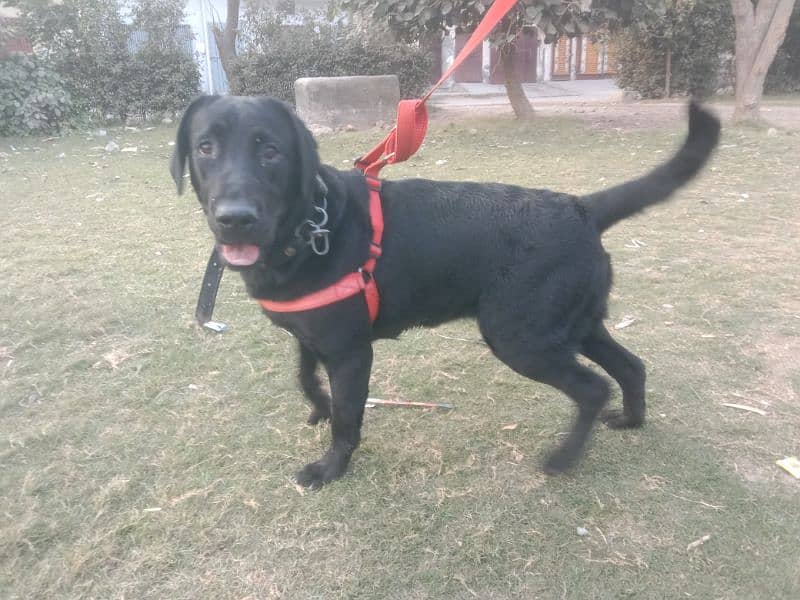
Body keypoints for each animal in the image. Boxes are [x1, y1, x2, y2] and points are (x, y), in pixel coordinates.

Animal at [172, 94, 720, 488]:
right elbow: (307, 380)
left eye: (271, 151)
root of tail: (582, 207)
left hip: (521, 338)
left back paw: (563, 459)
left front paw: (330, 468)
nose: (235, 219)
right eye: (205, 147)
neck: (311, 224)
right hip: (573, 324)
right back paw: (631, 420)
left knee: (592, 388)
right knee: (631, 366)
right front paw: (318, 407)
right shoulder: (312, 336)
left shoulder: (351, 352)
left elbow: (347, 418)